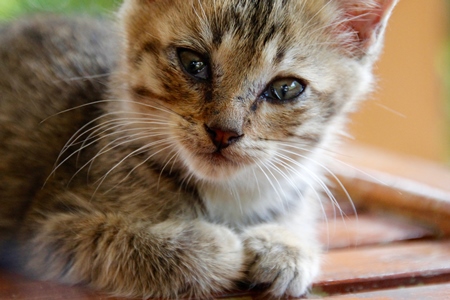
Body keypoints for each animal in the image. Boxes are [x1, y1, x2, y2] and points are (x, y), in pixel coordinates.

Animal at [0, 0, 398, 298]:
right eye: (193, 63)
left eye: (286, 88)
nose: (224, 132)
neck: (227, 194)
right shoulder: (47, 230)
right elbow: (116, 241)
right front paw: (218, 246)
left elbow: (296, 224)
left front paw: (286, 247)